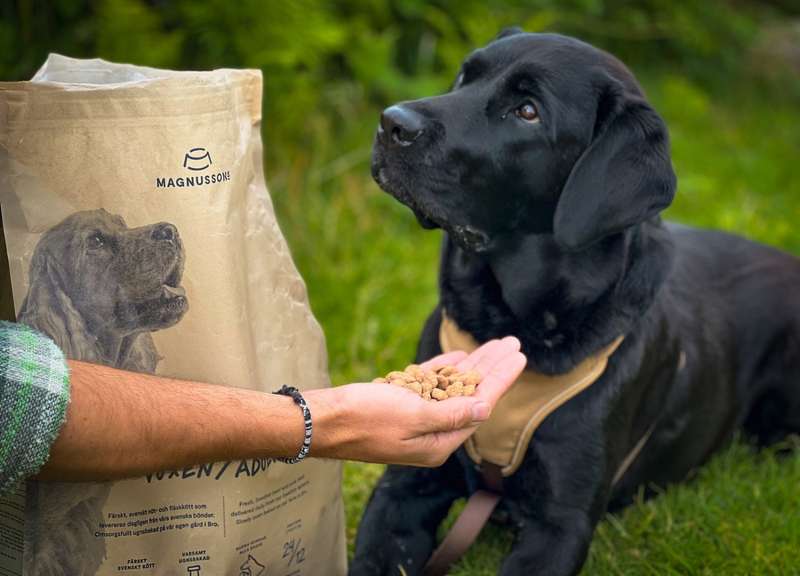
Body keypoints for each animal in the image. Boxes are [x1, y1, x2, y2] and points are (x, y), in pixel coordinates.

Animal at [352, 31, 800, 576]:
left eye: (527, 111)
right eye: (465, 76)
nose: (391, 122)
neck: (513, 321)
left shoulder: (561, 522)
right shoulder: (406, 484)